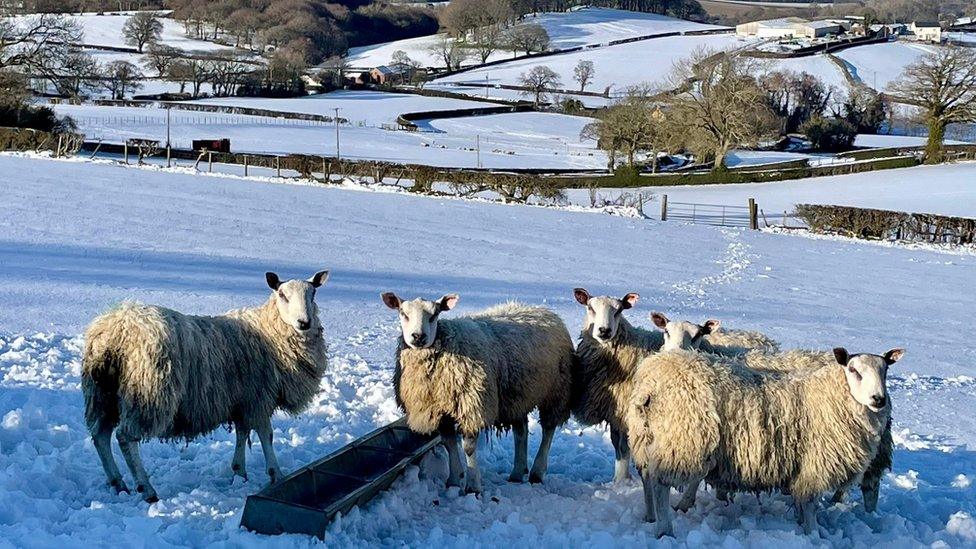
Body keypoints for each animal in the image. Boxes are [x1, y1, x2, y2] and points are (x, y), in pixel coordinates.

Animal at [82, 270, 330, 500]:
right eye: (282, 295)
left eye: (313, 293)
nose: (304, 323)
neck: (271, 331)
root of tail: (117, 329)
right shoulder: (258, 397)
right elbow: (265, 435)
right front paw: (276, 474)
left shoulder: (241, 399)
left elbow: (242, 432)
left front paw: (239, 472)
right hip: (147, 393)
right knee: (125, 437)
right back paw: (146, 489)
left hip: (102, 394)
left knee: (100, 436)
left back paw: (118, 483)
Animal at [386, 294, 576, 494]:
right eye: (403, 313)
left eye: (435, 314)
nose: (418, 337)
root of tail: (542, 310)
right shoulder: (440, 410)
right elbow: (449, 444)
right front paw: (454, 480)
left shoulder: (472, 406)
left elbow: (468, 448)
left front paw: (472, 486)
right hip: (518, 394)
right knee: (521, 430)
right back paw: (517, 473)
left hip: (556, 390)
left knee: (548, 430)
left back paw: (536, 473)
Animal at [568, 288, 660, 482]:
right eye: (590, 307)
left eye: (619, 310)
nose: (604, 330)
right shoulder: (613, 411)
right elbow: (616, 444)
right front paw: (618, 478)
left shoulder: (625, 411)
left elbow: (624, 446)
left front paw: (621, 481)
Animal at [628, 346, 904, 536]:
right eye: (854, 370)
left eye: (885, 371)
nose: (878, 399)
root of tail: (650, 384)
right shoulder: (815, 465)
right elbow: (809, 503)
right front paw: (813, 533)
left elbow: (803, 501)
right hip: (682, 441)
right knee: (660, 484)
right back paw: (665, 529)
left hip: (649, 438)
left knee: (649, 477)